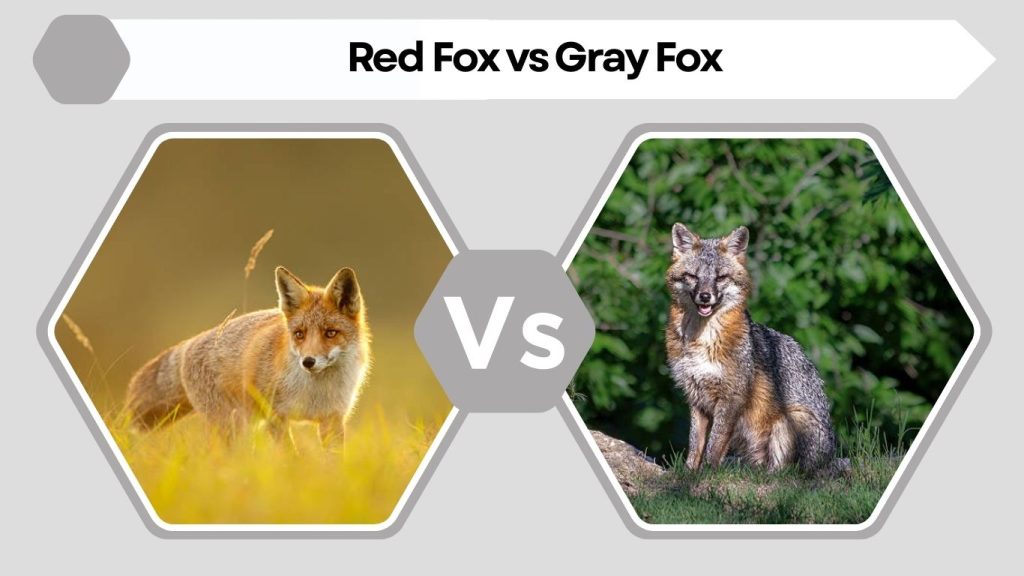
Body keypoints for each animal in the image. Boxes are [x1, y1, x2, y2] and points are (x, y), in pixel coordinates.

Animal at [125, 266, 370, 445]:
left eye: (330, 333)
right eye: (299, 334)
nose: (308, 362)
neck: (314, 393)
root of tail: (189, 343)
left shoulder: (332, 419)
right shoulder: (275, 416)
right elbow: (291, 458)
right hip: (232, 427)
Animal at [665, 223, 836, 473]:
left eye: (720, 277)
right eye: (693, 276)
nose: (705, 296)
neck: (703, 340)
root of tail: (829, 460)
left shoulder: (732, 396)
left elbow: (714, 443)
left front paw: (708, 473)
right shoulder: (696, 396)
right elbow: (695, 443)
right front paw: (689, 473)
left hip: (789, 421)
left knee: (784, 473)